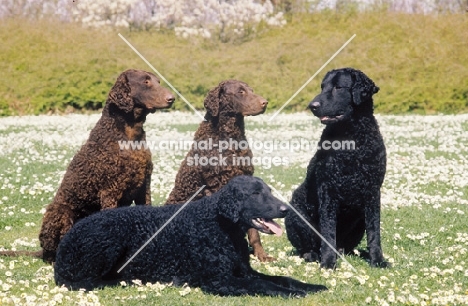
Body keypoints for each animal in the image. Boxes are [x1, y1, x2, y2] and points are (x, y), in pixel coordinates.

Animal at [54, 176, 326, 298]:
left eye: (268, 191)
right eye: (256, 194)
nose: (285, 209)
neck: (221, 227)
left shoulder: (244, 272)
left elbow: (284, 278)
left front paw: (312, 286)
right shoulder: (219, 280)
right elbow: (264, 285)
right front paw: (293, 294)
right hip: (108, 241)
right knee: (84, 281)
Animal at [165, 80, 274, 262]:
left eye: (251, 90)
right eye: (241, 92)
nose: (265, 102)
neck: (230, 139)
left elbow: (254, 231)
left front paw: (261, 254)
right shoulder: (216, 185)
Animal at [284, 68, 390, 268]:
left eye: (338, 87)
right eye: (322, 86)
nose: (312, 105)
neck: (352, 142)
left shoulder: (373, 191)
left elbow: (374, 232)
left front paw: (378, 260)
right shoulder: (328, 190)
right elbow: (328, 231)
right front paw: (327, 262)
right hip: (296, 214)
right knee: (306, 248)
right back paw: (314, 255)